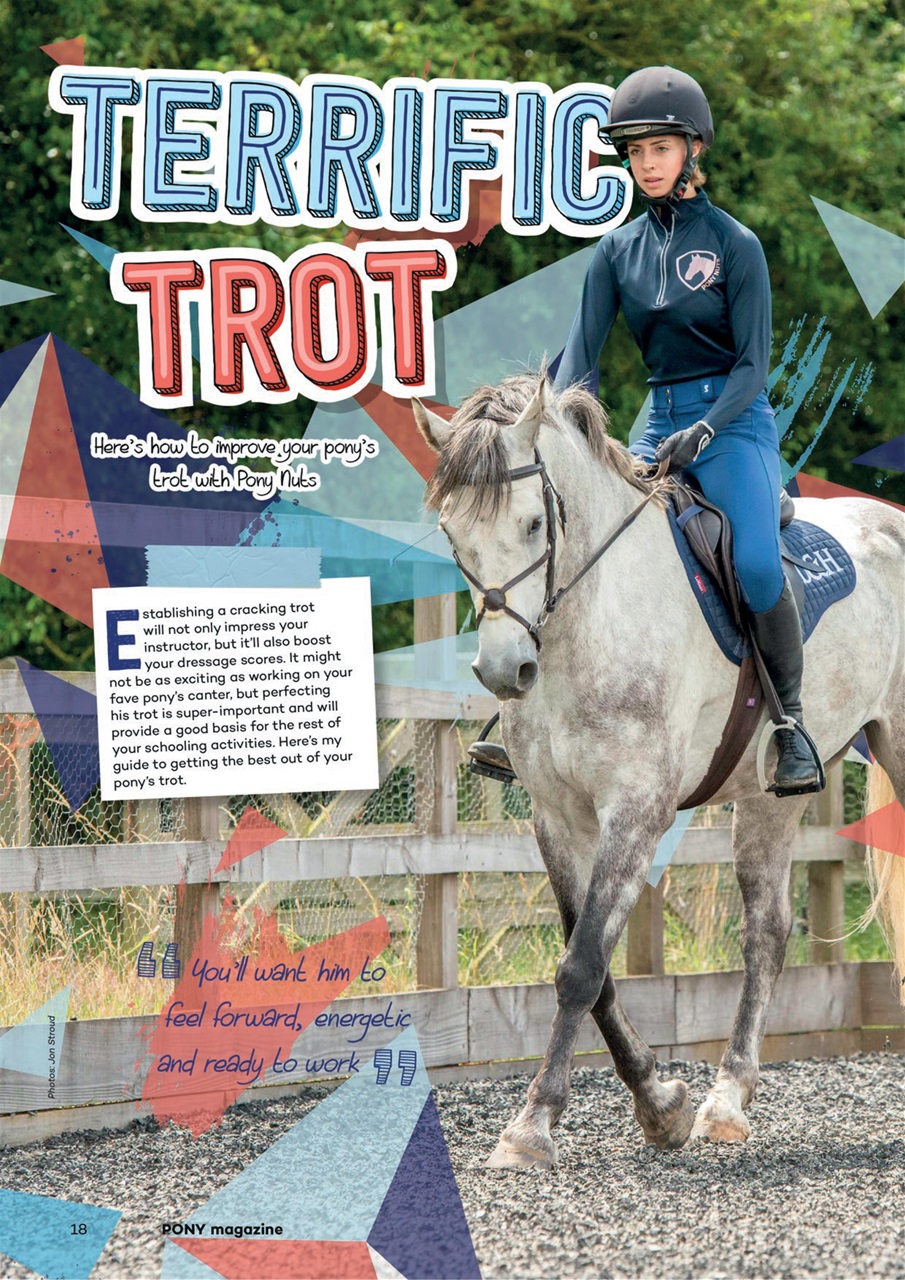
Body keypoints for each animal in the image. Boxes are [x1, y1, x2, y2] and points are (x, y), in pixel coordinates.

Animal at [412, 371, 905, 1167]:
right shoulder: (557, 817)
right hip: (774, 791)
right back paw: (726, 1100)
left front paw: (531, 1127)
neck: (589, 622)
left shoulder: (636, 810)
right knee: (766, 930)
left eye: (533, 524)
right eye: (454, 534)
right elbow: (596, 968)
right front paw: (659, 1103)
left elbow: (581, 965)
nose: (504, 670)